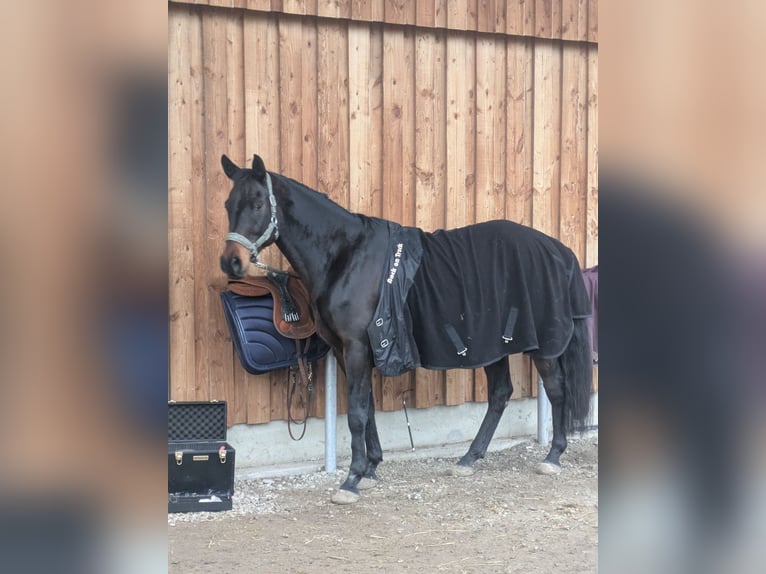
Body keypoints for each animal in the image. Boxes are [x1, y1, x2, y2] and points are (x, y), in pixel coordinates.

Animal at [219, 154, 593, 505]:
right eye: (227, 204)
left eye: (257, 203)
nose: (231, 262)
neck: (346, 256)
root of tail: (557, 249)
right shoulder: (347, 350)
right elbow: (367, 408)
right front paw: (371, 469)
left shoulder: (356, 348)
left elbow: (357, 414)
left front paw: (351, 480)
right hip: (492, 345)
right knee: (501, 393)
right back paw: (469, 459)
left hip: (541, 346)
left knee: (557, 390)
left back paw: (552, 456)